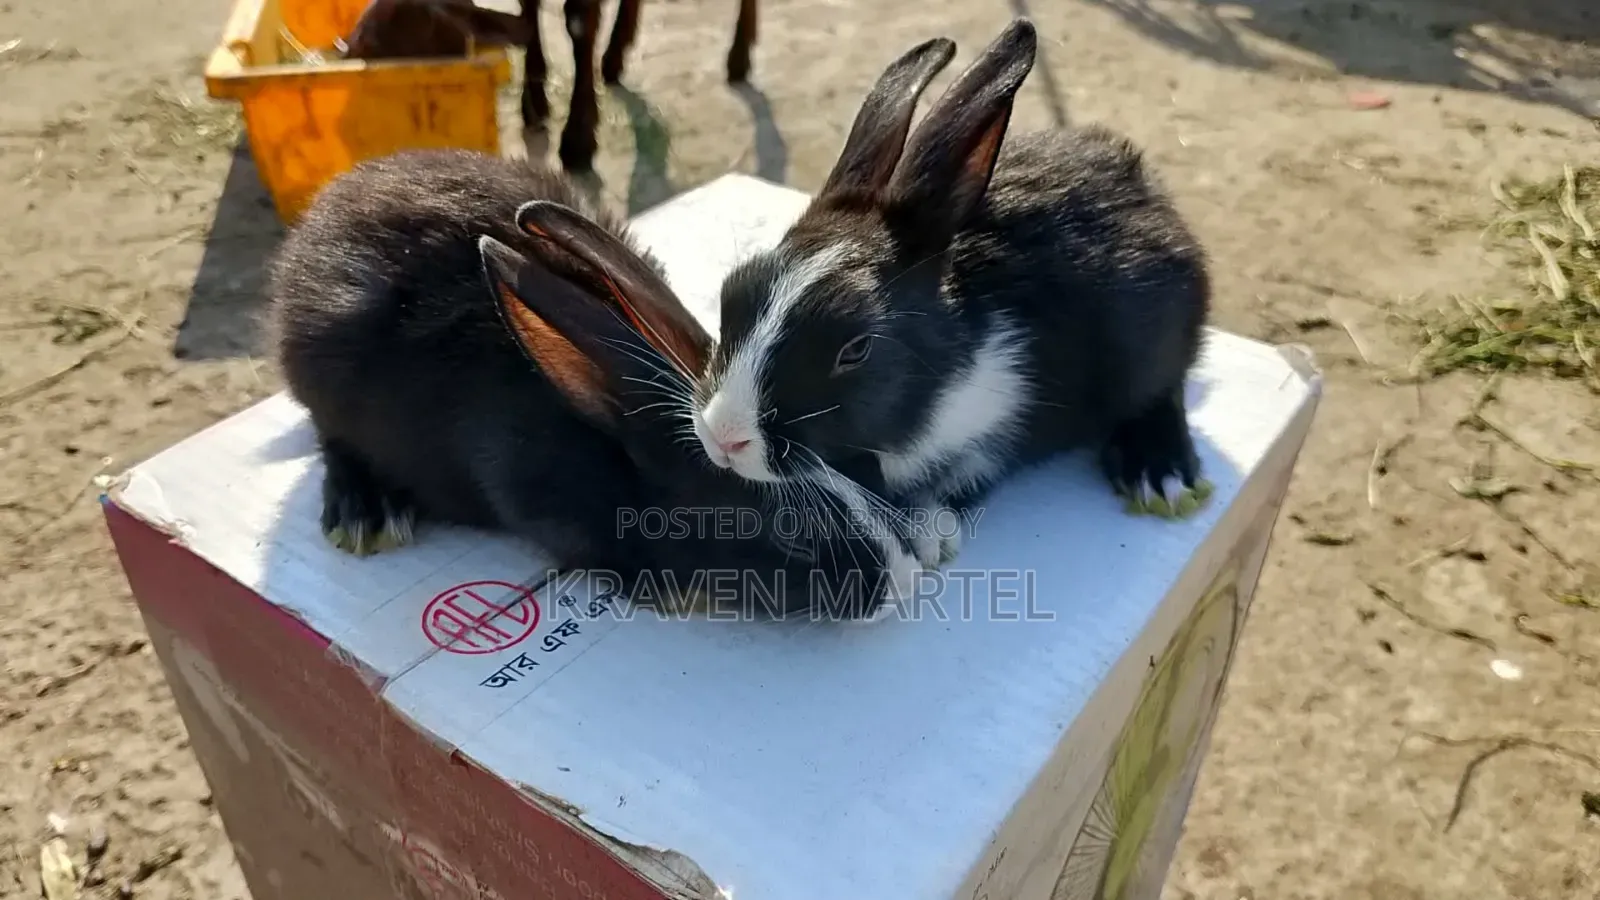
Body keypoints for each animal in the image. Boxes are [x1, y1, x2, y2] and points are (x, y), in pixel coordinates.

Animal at [690, 18, 1213, 572]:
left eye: (855, 350)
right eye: (730, 295)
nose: (723, 437)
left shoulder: (1001, 418)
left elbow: (962, 478)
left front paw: (920, 529)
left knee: (1164, 389)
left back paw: (1160, 474)